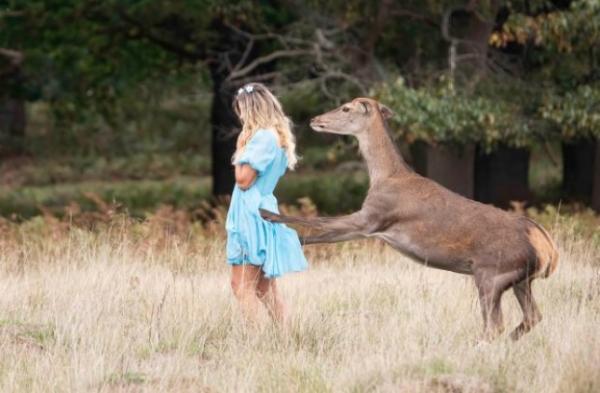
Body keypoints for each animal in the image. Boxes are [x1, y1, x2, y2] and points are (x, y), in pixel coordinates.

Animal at [260, 98, 560, 340]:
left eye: (345, 108)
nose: (314, 120)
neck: (385, 176)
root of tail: (548, 250)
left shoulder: (373, 216)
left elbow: (320, 223)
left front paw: (268, 216)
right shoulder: (370, 223)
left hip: (491, 272)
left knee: (495, 325)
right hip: (520, 279)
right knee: (532, 317)